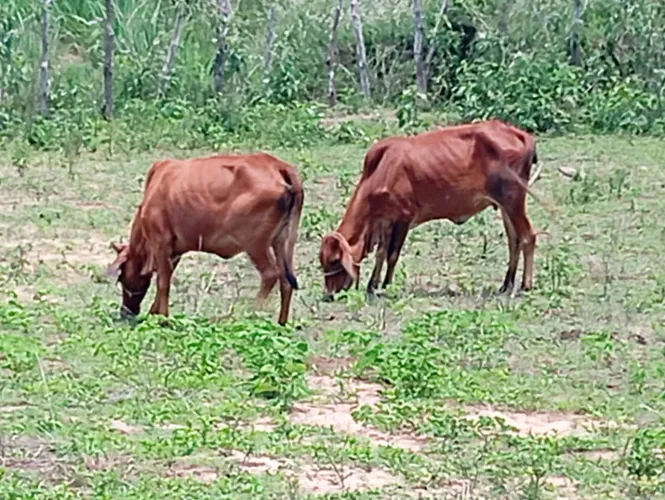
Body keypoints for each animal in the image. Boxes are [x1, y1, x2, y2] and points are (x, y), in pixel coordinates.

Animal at [107, 152, 304, 325]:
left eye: (121, 277)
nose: (125, 312)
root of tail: (279, 166)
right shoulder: (174, 251)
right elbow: (166, 277)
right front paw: (154, 313)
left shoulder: (161, 242)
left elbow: (163, 282)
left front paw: (163, 318)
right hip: (283, 242)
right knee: (286, 281)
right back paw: (281, 324)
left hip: (255, 244)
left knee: (270, 274)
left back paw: (249, 316)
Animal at [319, 119, 543, 299]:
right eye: (323, 262)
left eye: (335, 261)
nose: (329, 294)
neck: (380, 171)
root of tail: (521, 135)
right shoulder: (385, 221)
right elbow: (381, 254)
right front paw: (371, 286)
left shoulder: (404, 218)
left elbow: (392, 255)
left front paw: (386, 286)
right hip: (505, 206)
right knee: (513, 241)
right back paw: (506, 284)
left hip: (513, 199)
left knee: (527, 237)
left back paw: (525, 285)